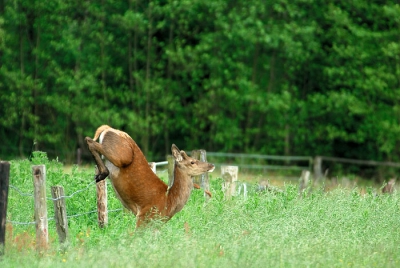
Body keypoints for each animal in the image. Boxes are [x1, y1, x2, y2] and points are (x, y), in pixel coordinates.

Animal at [85, 125, 216, 226]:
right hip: (124, 156)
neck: (168, 203)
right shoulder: (144, 215)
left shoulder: (156, 225)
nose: (211, 165)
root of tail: (108, 128)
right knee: (89, 140)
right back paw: (102, 173)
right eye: (192, 162)